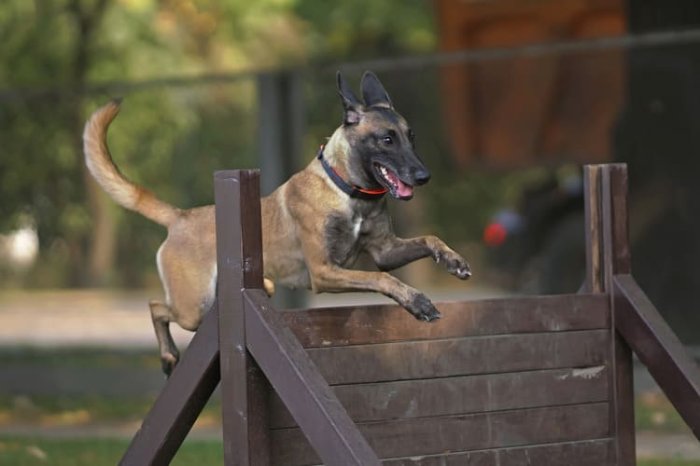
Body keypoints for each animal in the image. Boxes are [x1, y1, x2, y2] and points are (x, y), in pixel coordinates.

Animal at [85, 70, 474, 374]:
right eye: (387, 139)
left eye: (412, 137)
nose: (424, 176)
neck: (347, 189)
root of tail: (179, 217)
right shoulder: (324, 272)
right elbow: (381, 278)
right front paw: (417, 302)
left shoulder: (385, 251)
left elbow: (427, 240)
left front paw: (453, 261)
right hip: (193, 306)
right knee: (156, 307)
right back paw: (167, 356)